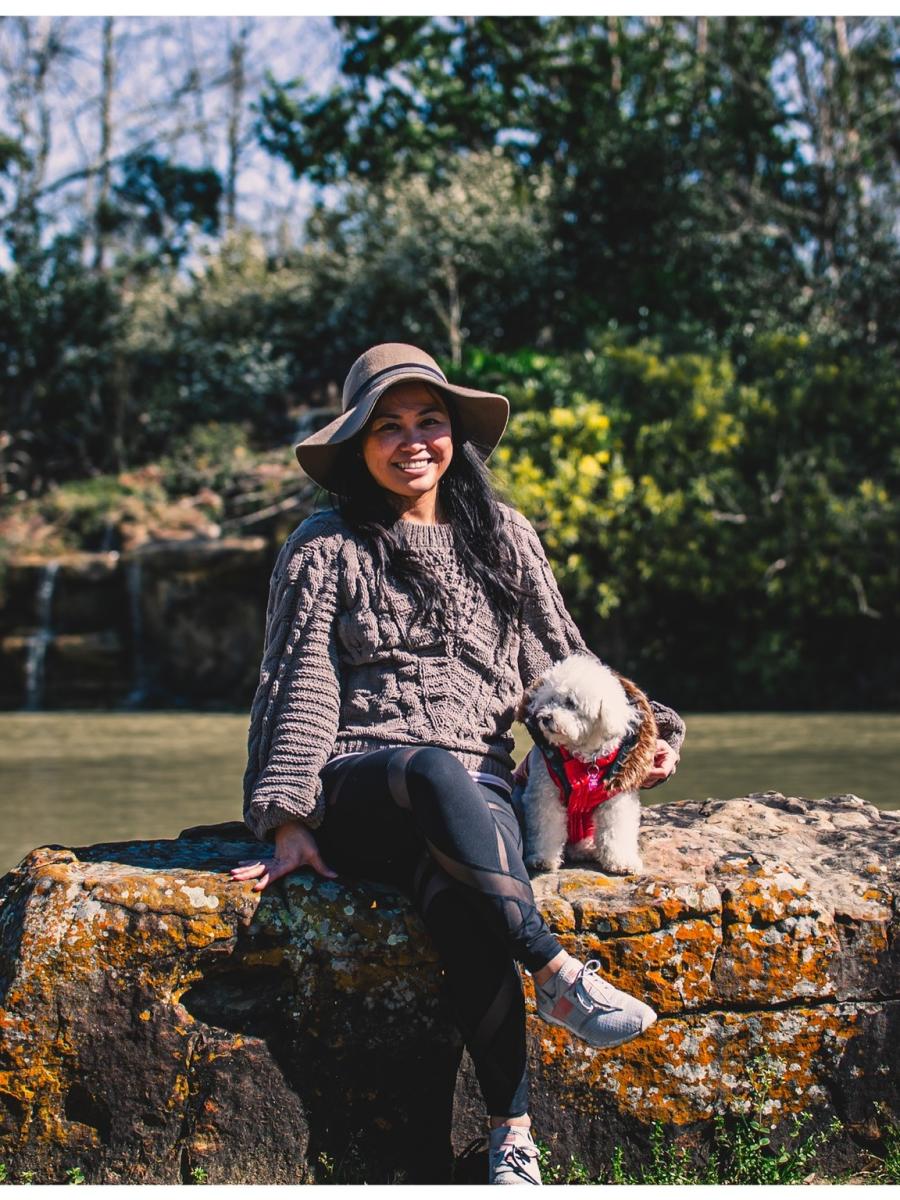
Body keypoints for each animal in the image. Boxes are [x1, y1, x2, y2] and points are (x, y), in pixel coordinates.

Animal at [518, 657, 657, 873]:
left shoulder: (615, 797)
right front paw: (542, 859)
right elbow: (546, 828)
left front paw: (622, 861)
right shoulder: (544, 794)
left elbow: (617, 829)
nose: (545, 718)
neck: (584, 760)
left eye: (571, 702)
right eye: (550, 700)